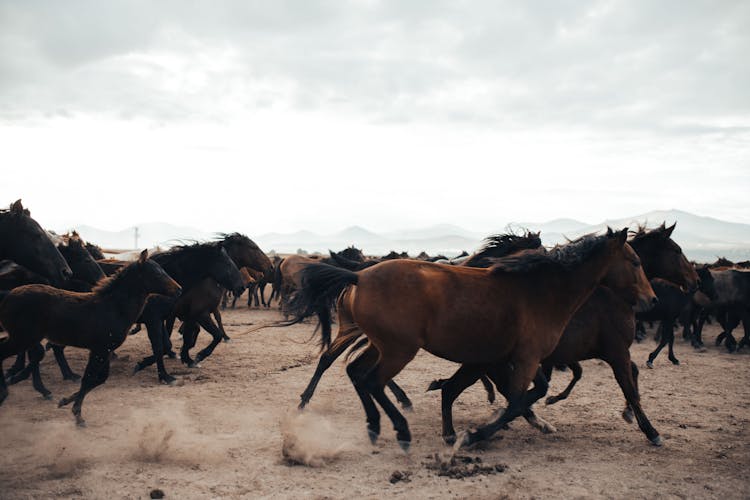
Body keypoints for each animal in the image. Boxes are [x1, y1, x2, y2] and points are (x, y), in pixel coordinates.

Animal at [0, 250, 181, 426]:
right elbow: (89, 378)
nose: (179, 289)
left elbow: (98, 379)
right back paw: (8, 389)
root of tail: (8, 297)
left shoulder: (104, 349)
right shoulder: (100, 349)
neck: (113, 308)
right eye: (157, 273)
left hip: (24, 337)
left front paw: (65, 401)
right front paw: (77, 414)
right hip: (22, 338)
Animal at [288, 229, 636, 448]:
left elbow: (517, 391)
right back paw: (394, 424)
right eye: (635, 262)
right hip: (395, 347)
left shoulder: (501, 357)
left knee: (355, 371)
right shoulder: (511, 358)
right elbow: (515, 393)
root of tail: (357, 276)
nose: (644, 300)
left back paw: (376, 420)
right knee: (357, 372)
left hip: (381, 342)